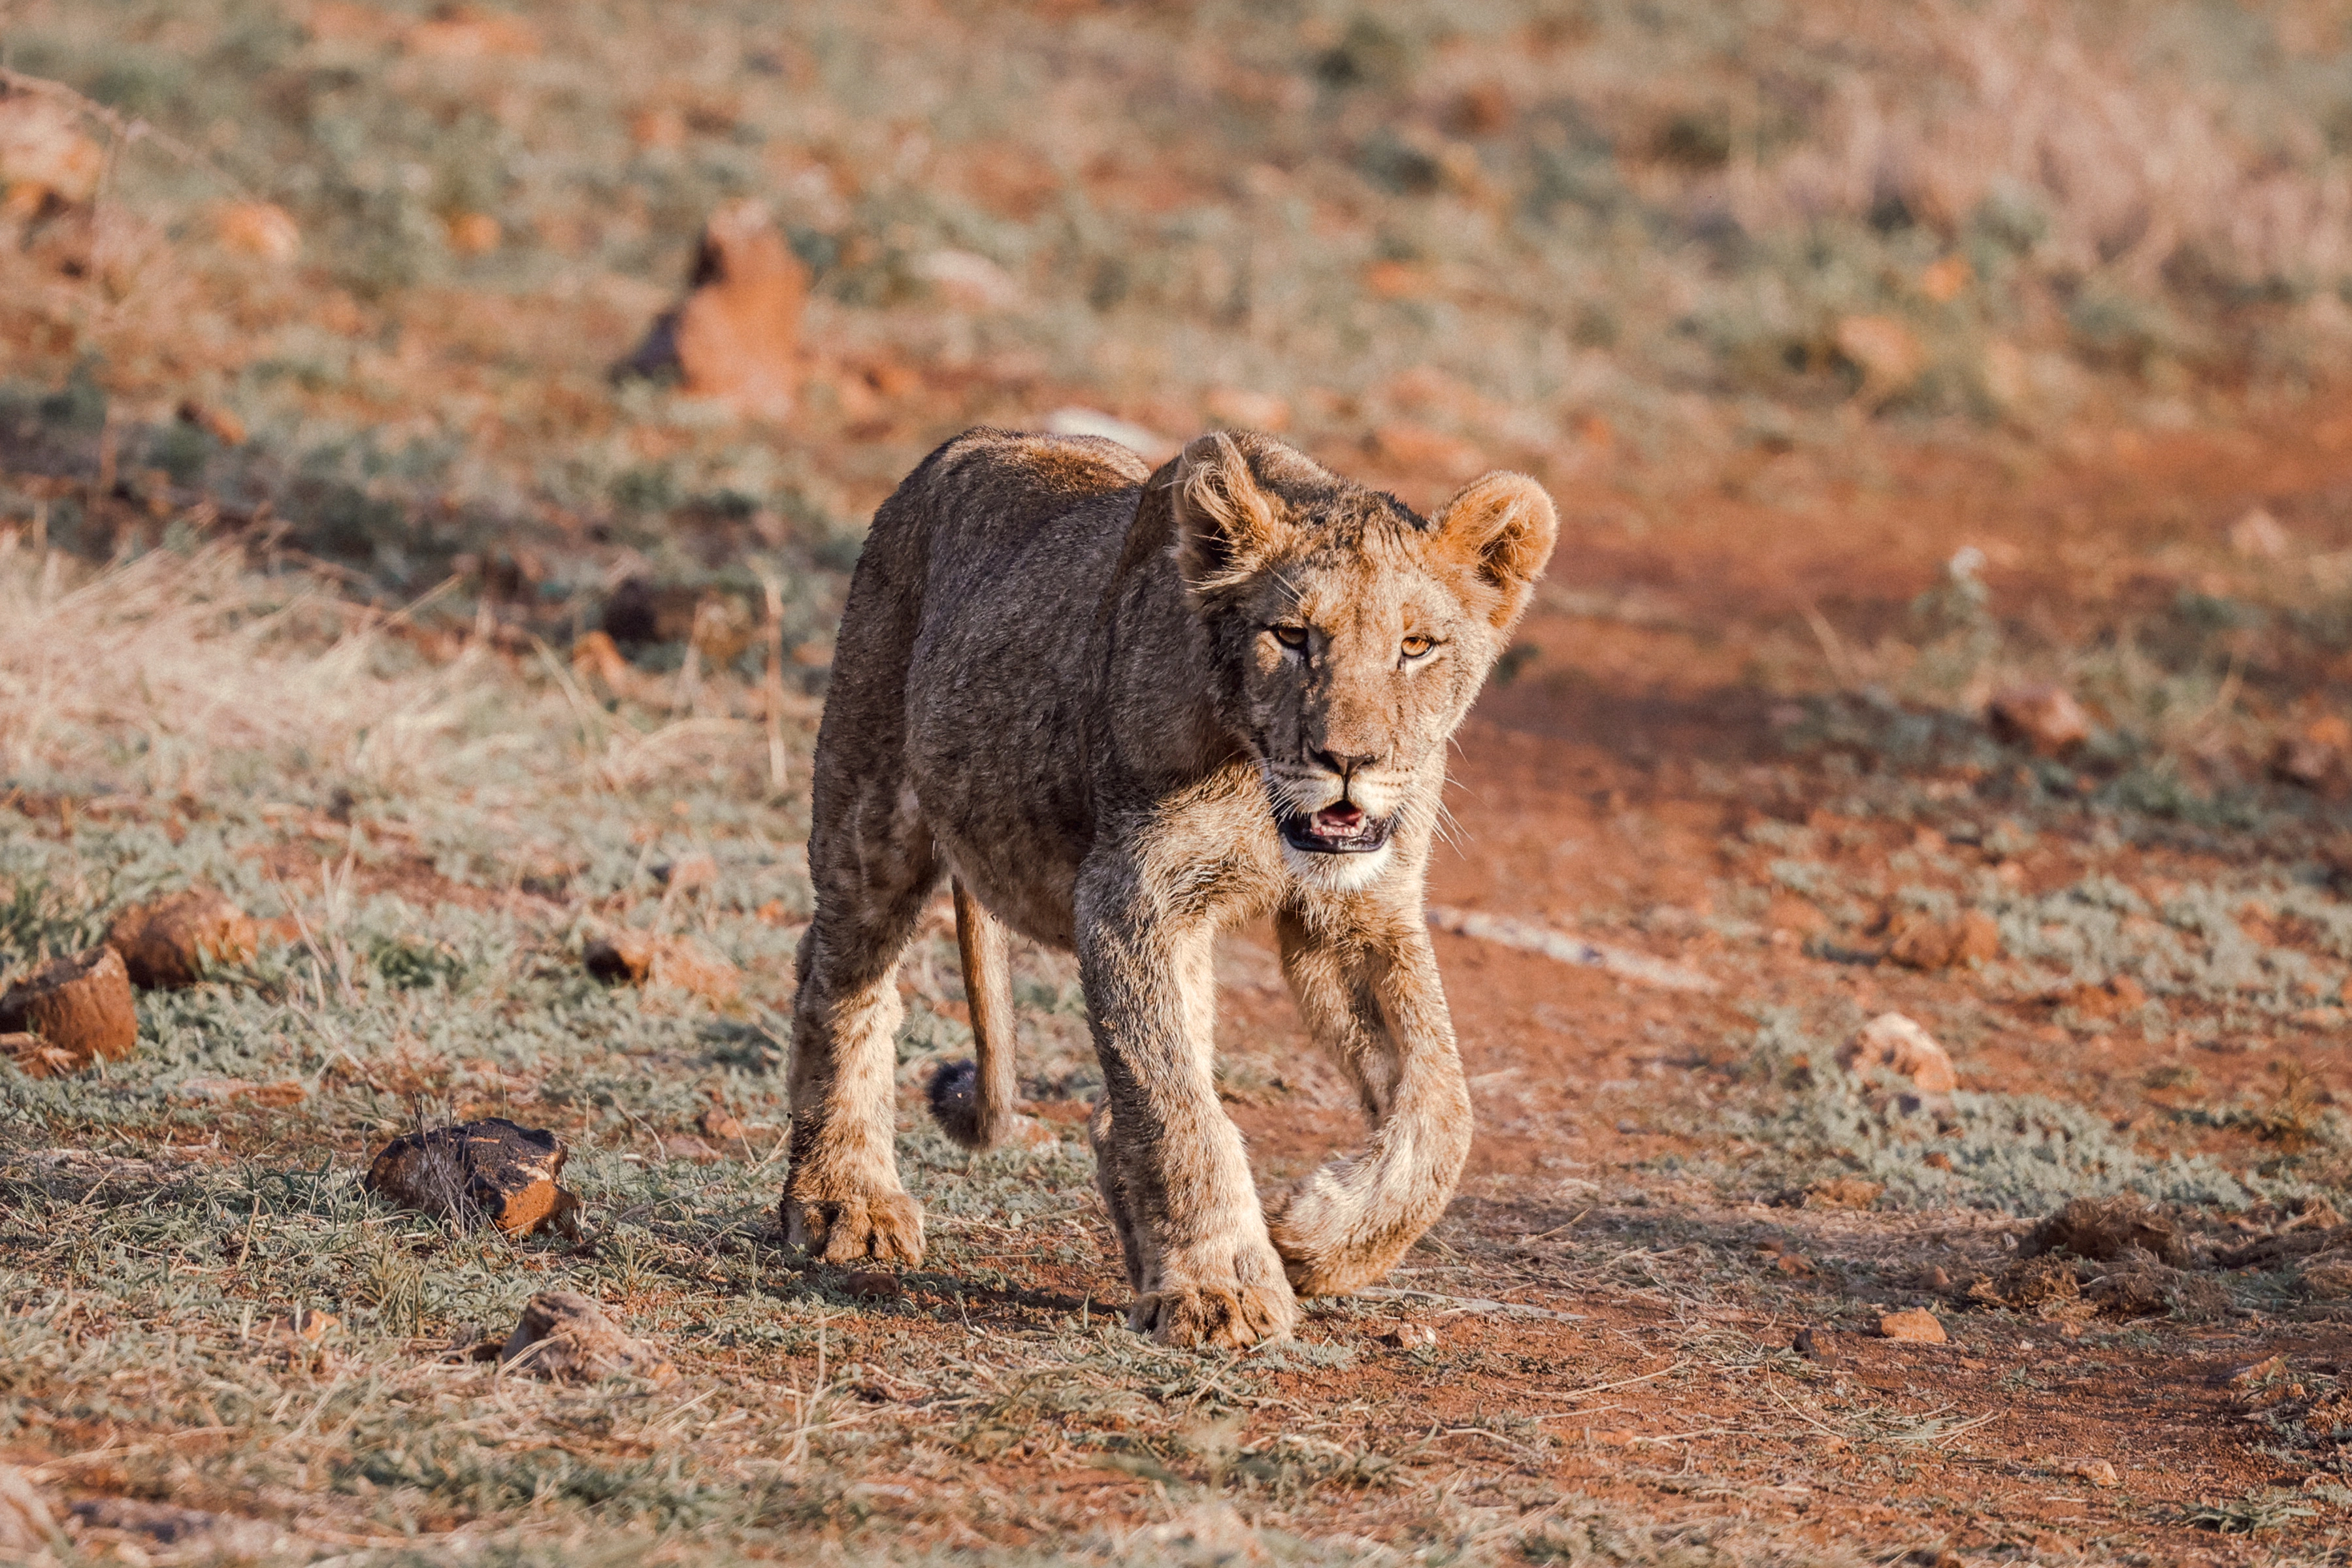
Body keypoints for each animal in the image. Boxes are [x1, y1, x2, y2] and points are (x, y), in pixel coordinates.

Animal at [783, 426, 1557, 1347]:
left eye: (1416, 647)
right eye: (1292, 636)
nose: (1349, 761)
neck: (1259, 785)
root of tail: (966, 441)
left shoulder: (1358, 915)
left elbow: (1444, 1106)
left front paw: (1318, 1242)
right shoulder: (1129, 897)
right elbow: (1176, 1104)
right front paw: (1221, 1286)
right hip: (874, 806)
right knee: (841, 979)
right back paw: (843, 1202)